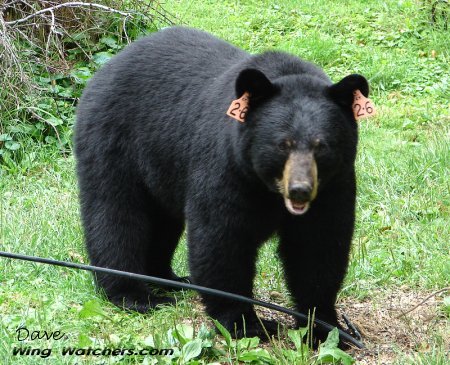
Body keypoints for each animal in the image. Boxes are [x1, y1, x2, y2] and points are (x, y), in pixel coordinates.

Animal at [74, 25, 370, 344]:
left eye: (321, 146)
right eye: (282, 144)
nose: (300, 190)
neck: (268, 190)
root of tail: (105, 68)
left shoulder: (333, 185)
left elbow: (318, 247)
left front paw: (325, 327)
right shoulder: (226, 167)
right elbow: (222, 240)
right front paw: (247, 324)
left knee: (162, 222)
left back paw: (170, 279)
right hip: (113, 141)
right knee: (115, 215)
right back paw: (135, 294)